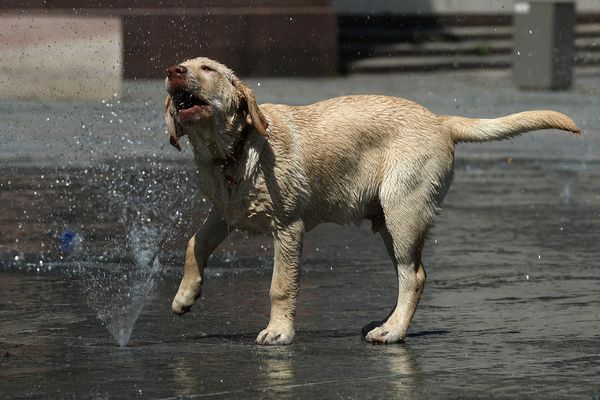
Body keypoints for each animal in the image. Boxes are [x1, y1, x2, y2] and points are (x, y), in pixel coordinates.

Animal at [164, 57, 580, 346]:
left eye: (207, 68)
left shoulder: (288, 228)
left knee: (414, 275)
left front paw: (279, 331)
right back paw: (388, 321)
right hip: (387, 221)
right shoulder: (223, 213)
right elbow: (193, 244)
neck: (231, 153)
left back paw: (393, 331)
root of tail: (440, 120)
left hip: (403, 212)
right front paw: (185, 296)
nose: (173, 71)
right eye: (183, 64)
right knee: (408, 273)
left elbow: (280, 285)